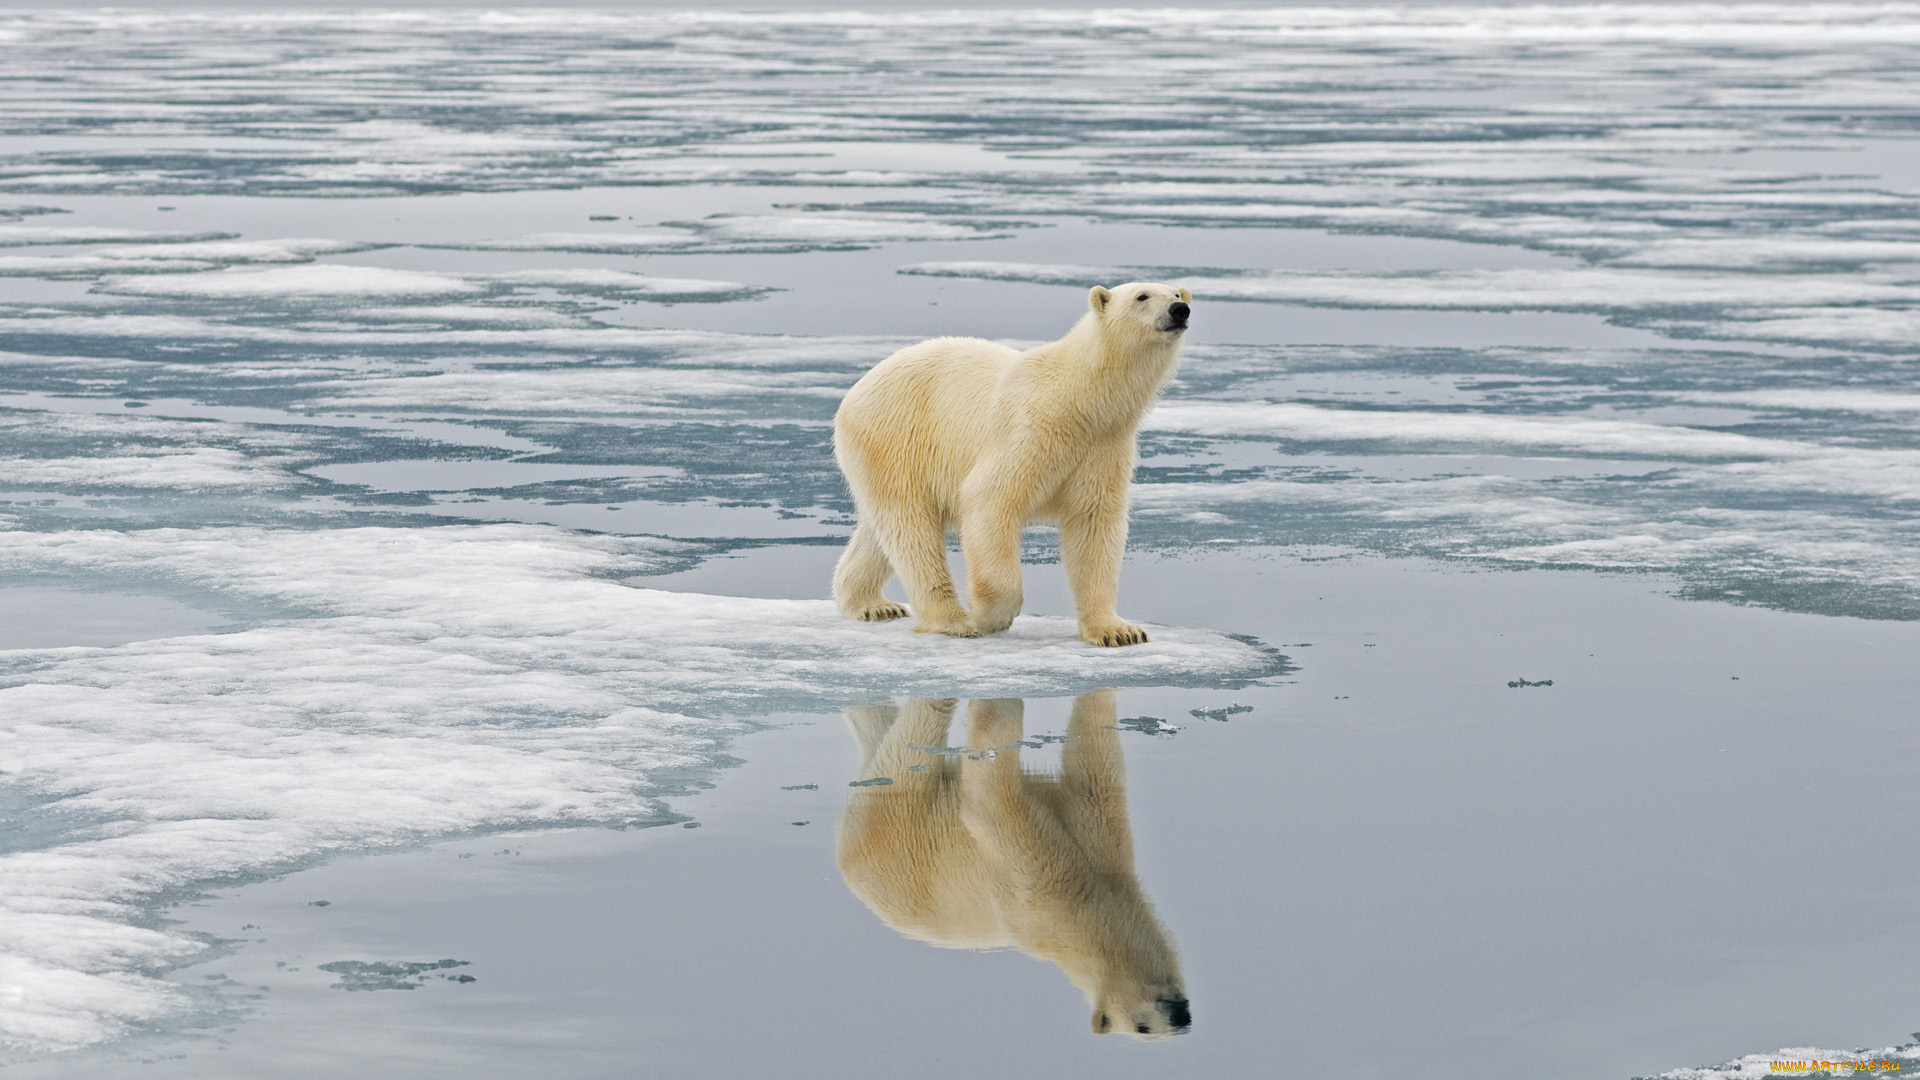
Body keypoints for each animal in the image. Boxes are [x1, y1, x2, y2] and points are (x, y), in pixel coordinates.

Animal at [831, 282, 1192, 646]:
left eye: (1177, 294)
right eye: (1142, 297)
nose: (1179, 311)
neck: (1080, 398)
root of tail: (855, 391)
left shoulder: (1104, 445)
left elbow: (1094, 525)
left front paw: (1118, 631)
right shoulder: (1030, 430)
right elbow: (989, 499)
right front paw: (990, 618)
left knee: (881, 531)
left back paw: (873, 605)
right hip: (895, 437)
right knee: (911, 527)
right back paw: (952, 620)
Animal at [835, 691, 1192, 1039]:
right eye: (1141, 1027)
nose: (1179, 1016)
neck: (1085, 908)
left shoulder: (1096, 838)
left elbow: (1090, 764)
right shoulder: (1035, 886)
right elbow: (988, 799)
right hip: (896, 827)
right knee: (917, 740)